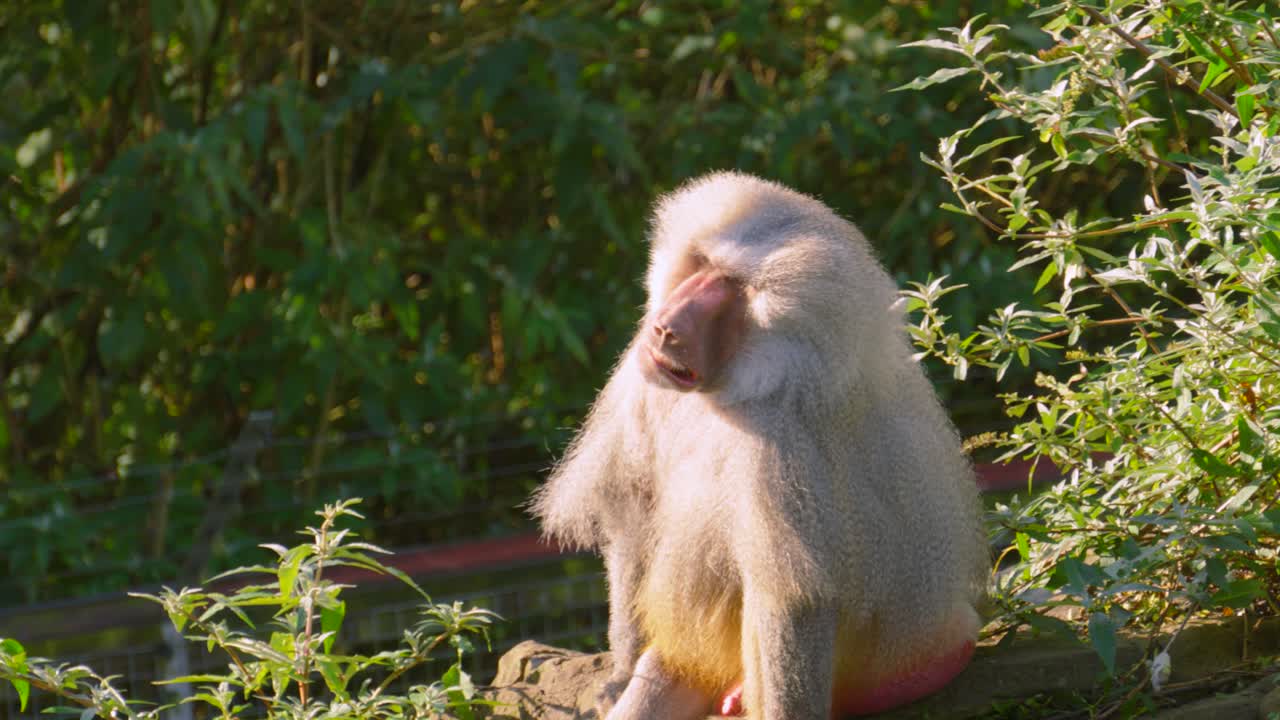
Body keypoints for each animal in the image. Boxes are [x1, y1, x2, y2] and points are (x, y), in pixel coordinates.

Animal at [531, 172, 987, 719]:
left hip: (894, 667)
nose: (664, 329)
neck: (728, 387)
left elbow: (793, 602)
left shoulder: (778, 436)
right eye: (702, 265)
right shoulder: (643, 381)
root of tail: (961, 629)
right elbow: (634, 511)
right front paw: (619, 677)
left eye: (734, 289)